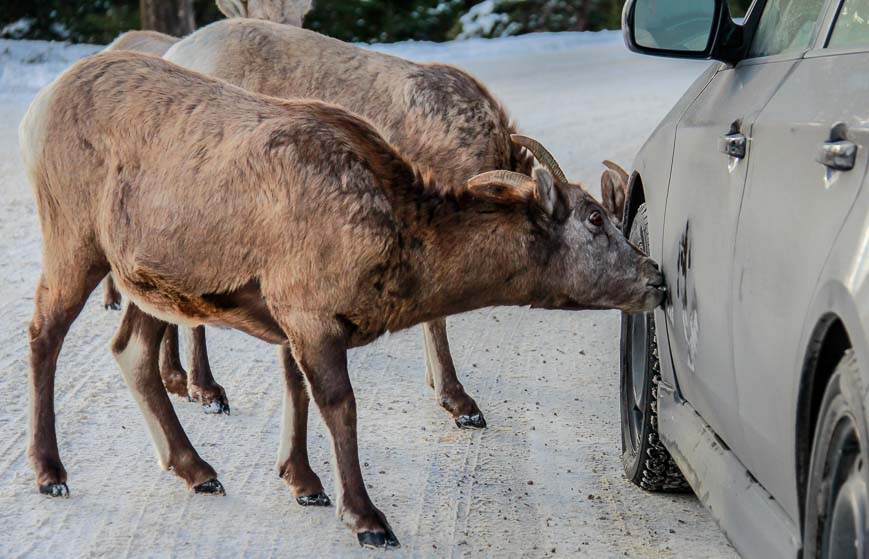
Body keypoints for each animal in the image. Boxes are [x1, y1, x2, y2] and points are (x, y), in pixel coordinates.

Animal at [20, 51, 660, 548]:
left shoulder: (292, 320)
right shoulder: (309, 312)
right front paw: (367, 517)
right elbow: (341, 406)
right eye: (596, 218)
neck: (398, 240)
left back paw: (196, 469)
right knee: (44, 333)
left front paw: (303, 483)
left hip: (152, 285)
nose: (654, 276)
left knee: (131, 351)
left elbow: (297, 393)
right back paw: (50, 472)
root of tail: (36, 109)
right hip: (74, 240)